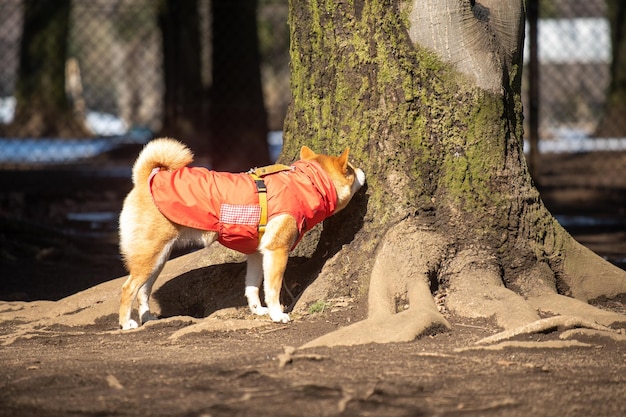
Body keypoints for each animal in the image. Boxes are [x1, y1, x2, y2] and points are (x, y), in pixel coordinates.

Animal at [118, 138, 366, 330]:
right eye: (351, 169)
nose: (364, 171)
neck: (306, 184)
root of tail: (145, 180)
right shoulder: (277, 252)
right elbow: (273, 289)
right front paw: (277, 314)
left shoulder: (257, 254)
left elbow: (253, 287)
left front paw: (258, 310)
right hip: (150, 256)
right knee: (128, 289)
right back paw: (126, 323)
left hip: (157, 260)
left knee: (143, 291)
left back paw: (147, 317)